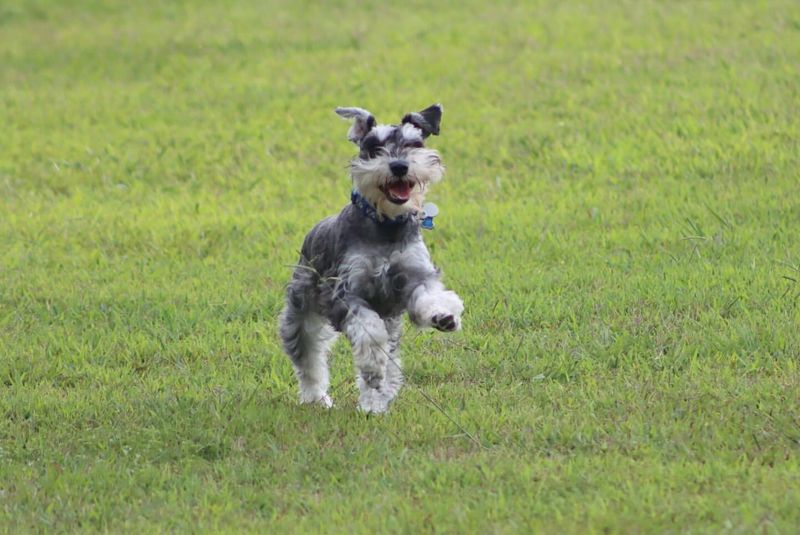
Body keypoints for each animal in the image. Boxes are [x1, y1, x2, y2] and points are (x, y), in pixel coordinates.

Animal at [282, 104, 466, 414]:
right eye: (374, 147)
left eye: (414, 144)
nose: (399, 166)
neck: (386, 226)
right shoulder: (345, 292)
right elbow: (369, 332)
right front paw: (371, 362)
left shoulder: (416, 275)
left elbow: (430, 296)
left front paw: (443, 315)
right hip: (301, 308)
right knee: (309, 358)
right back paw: (318, 397)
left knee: (389, 367)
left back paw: (373, 404)